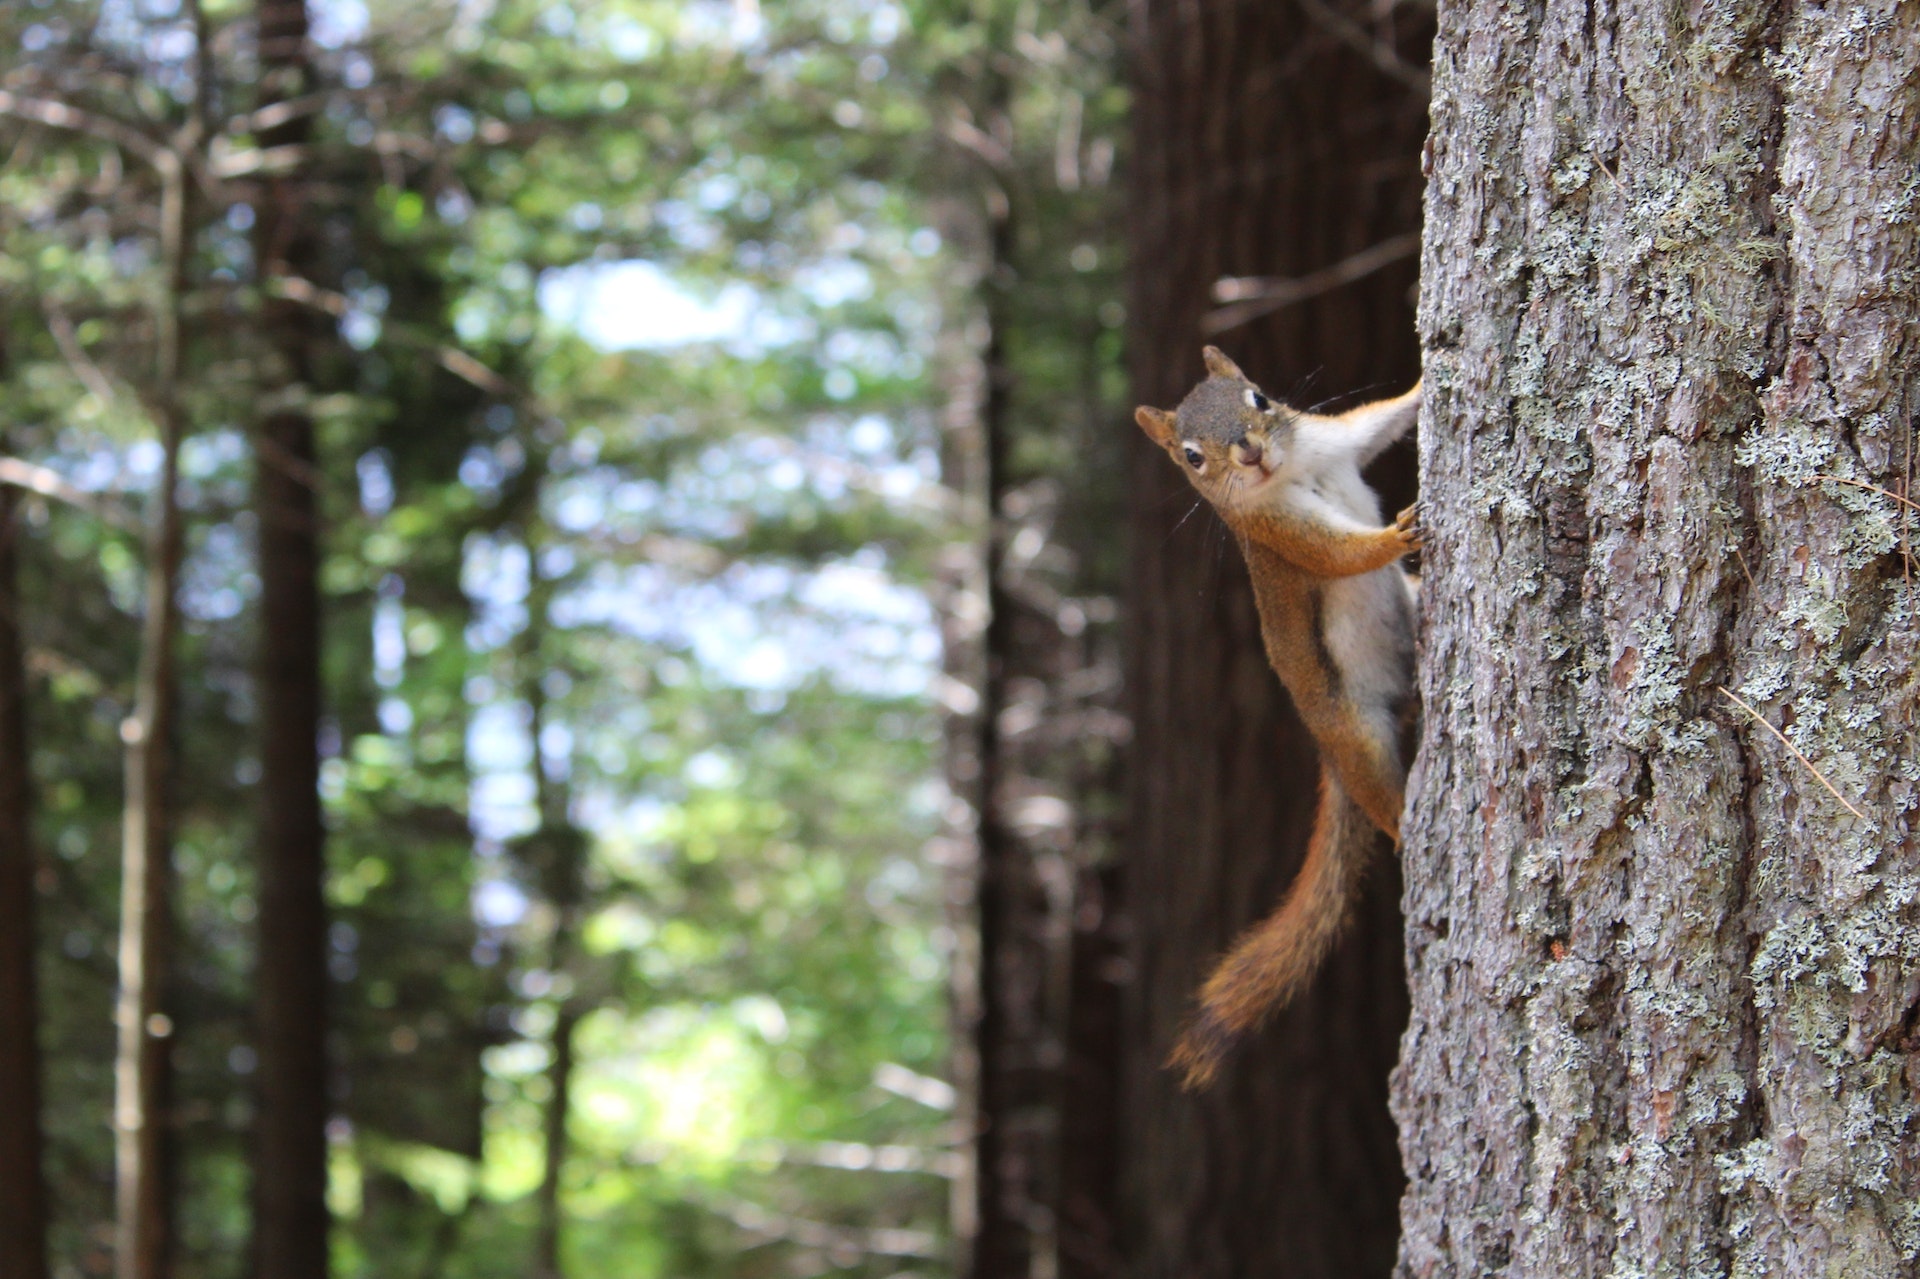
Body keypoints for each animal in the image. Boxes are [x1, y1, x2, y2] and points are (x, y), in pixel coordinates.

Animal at [1134, 345, 1421, 1090]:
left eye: (1260, 398)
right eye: (1191, 458)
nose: (1250, 453)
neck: (1293, 470)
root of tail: (1327, 752)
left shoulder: (1335, 440)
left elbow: (1381, 420)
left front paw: (1425, 380)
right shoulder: (1278, 534)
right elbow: (1340, 553)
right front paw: (1395, 535)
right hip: (1356, 735)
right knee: (1381, 797)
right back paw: (1407, 828)